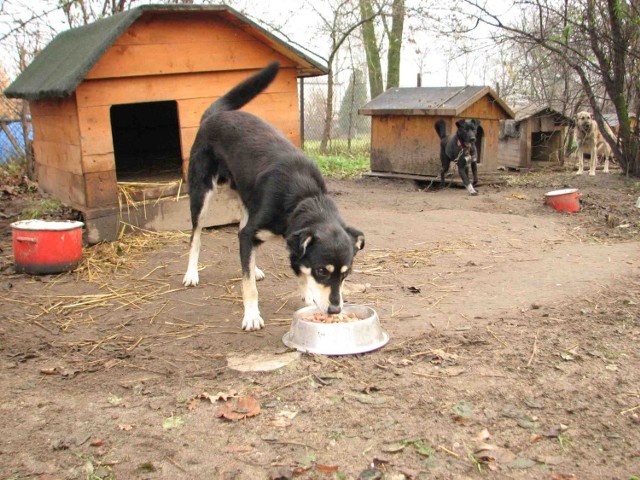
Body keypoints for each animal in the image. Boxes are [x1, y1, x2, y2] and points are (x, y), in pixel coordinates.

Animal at [182, 62, 368, 332]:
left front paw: (307, 295)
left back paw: (255, 267)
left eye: (346, 274)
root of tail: (214, 115)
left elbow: (295, 269)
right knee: (195, 237)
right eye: (322, 271)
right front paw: (251, 315)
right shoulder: (252, 232)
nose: (335, 310)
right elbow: (249, 285)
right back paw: (191, 273)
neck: (305, 197)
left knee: (240, 232)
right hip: (201, 193)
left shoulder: (277, 237)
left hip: (246, 199)